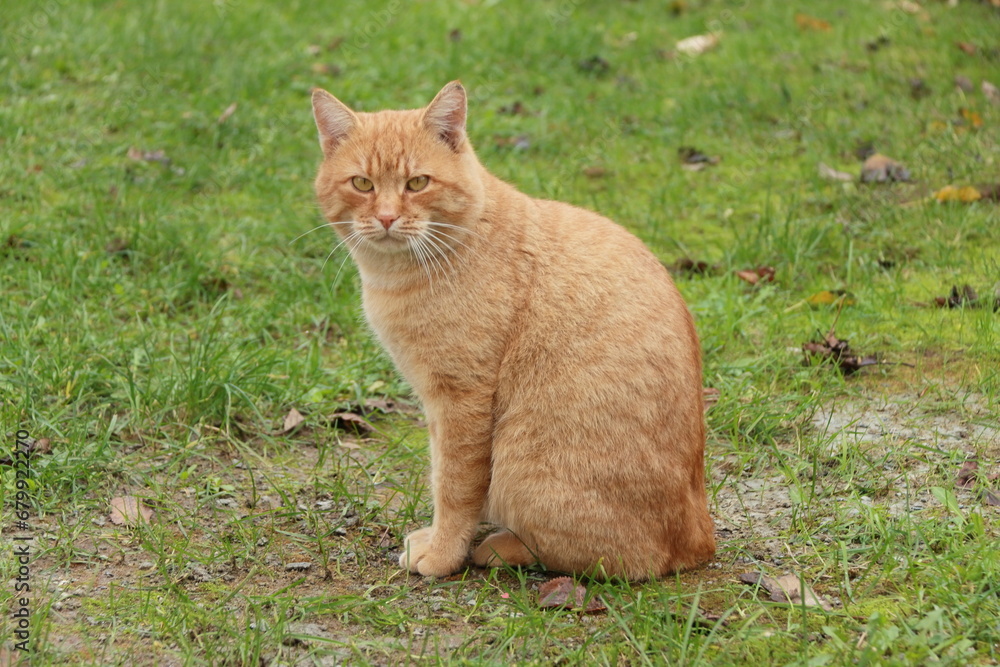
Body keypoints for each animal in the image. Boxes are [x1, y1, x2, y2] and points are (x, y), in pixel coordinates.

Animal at [310, 82, 712, 580]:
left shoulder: (462, 398)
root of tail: (701, 539)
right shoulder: (435, 404)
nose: (385, 218)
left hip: (525, 468)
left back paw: (501, 548)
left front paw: (443, 554)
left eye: (417, 183)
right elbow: (440, 472)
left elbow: (454, 486)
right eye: (362, 184)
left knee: (620, 558)